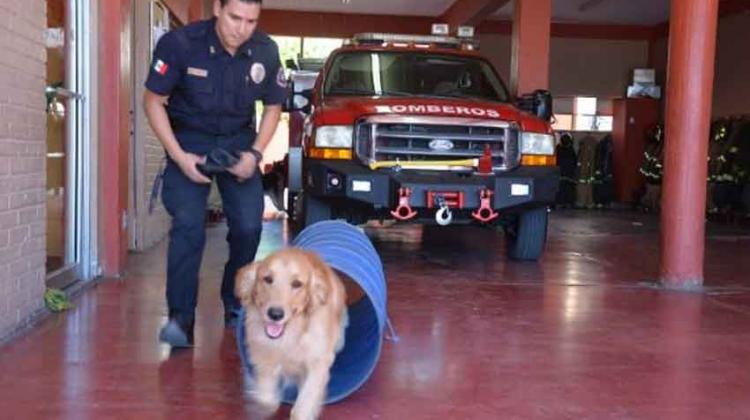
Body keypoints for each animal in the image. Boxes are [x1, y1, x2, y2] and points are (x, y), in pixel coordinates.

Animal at [235, 248, 350, 418]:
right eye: (267, 279)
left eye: (297, 284)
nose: (275, 314)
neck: (291, 334)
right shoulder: (263, 355)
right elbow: (266, 399)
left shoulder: (318, 363)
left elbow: (303, 404)